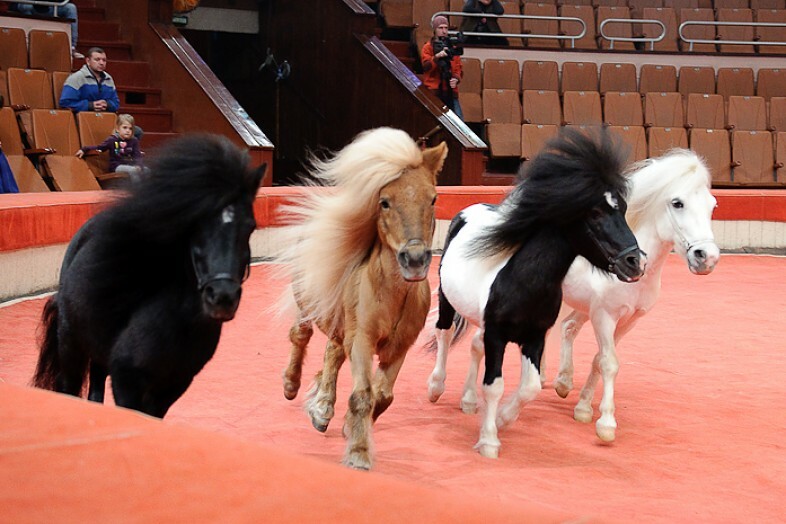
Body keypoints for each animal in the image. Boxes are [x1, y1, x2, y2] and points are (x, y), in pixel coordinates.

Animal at [32, 135, 264, 418]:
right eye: (196, 223)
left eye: (250, 226)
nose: (222, 297)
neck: (177, 323)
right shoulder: (127, 380)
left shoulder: (174, 384)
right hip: (71, 345)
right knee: (69, 388)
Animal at [278, 127, 448, 470]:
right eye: (384, 202)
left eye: (433, 198)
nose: (415, 259)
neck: (391, 295)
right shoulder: (362, 341)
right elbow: (362, 394)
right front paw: (358, 454)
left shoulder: (398, 348)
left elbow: (382, 396)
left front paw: (346, 426)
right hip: (308, 306)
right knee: (300, 336)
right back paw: (293, 386)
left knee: (332, 354)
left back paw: (322, 407)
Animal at [426, 128, 648, 458]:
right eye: (595, 212)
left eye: (622, 208)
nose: (635, 262)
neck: (522, 281)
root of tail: (468, 210)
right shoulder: (497, 335)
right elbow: (494, 385)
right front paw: (489, 441)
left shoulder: (534, 337)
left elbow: (529, 386)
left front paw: (502, 419)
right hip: (445, 299)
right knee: (443, 333)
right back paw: (435, 387)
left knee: (474, 346)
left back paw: (468, 401)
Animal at [552, 147, 716, 442]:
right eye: (678, 203)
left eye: (712, 205)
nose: (706, 257)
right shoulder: (604, 317)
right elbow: (609, 363)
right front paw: (606, 423)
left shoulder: (628, 320)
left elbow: (599, 360)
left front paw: (583, 408)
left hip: (583, 307)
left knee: (568, 327)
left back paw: (563, 382)